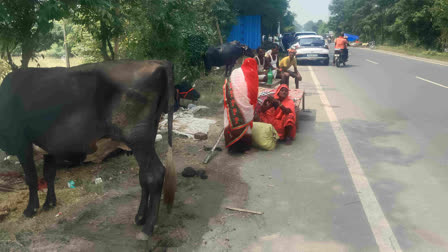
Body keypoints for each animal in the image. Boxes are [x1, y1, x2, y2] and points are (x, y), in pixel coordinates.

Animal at [0, 60, 177, 237]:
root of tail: (158, 63)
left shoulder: (21, 143)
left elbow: (31, 178)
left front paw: (30, 210)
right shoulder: (49, 147)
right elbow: (49, 175)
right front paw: (49, 203)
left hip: (137, 138)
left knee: (155, 174)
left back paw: (148, 228)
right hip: (145, 138)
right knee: (144, 176)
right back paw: (140, 217)